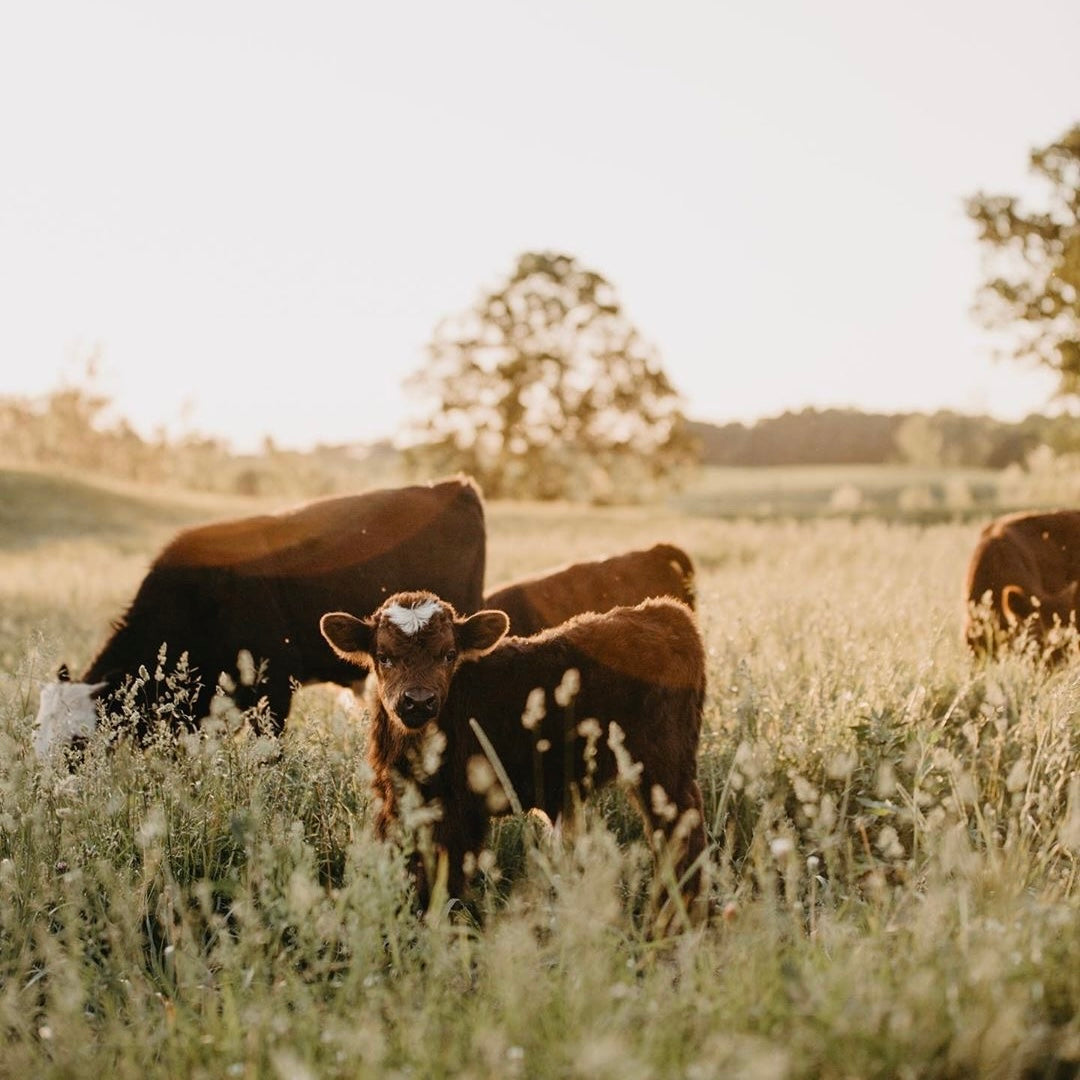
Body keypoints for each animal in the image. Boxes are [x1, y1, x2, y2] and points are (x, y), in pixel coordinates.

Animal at [319, 587, 708, 924]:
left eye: (448, 654)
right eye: (383, 656)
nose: (417, 701)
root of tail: (664, 612)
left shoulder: (457, 811)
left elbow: (441, 878)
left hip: (662, 767)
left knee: (680, 831)